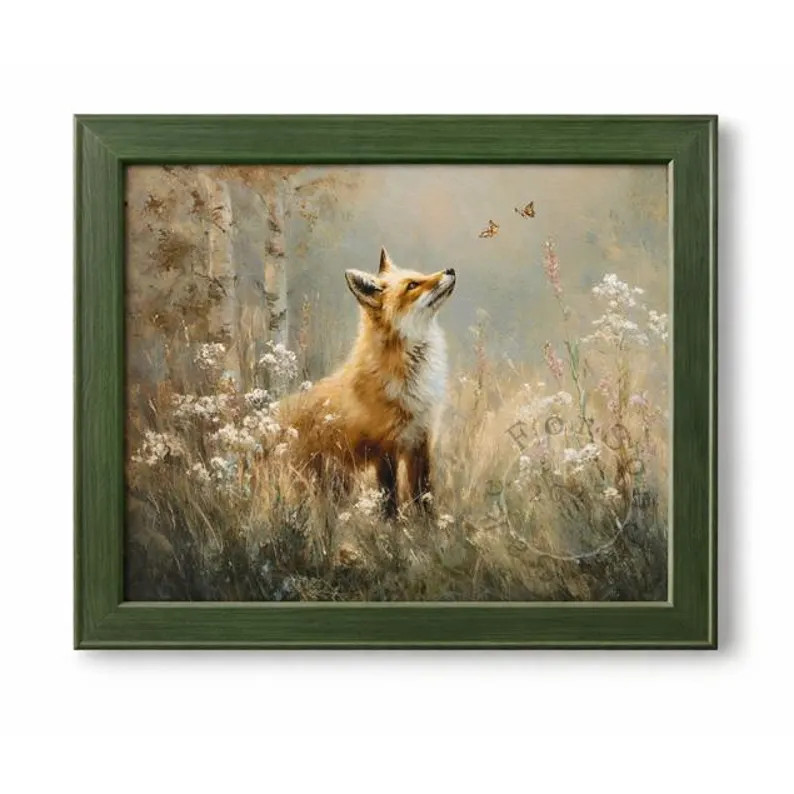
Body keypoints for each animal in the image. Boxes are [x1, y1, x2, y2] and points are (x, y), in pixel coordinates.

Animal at [280, 247, 456, 517]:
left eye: (419, 276)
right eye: (412, 285)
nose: (451, 270)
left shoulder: (420, 440)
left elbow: (423, 494)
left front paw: (429, 525)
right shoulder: (384, 448)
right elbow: (390, 499)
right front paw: (393, 527)